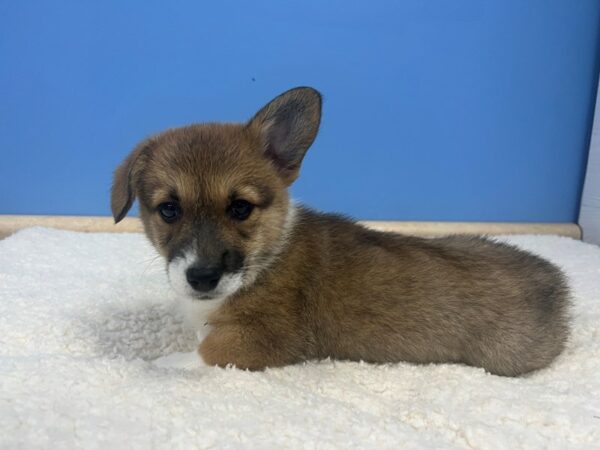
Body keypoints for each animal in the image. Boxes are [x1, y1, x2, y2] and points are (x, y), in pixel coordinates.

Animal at [110, 86, 568, 374]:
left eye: (240, 208)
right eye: (169, 210)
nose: (202, 277)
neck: (266, 257)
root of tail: (558, 284)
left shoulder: (262, 340)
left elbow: (206, 352)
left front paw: (163, 364)